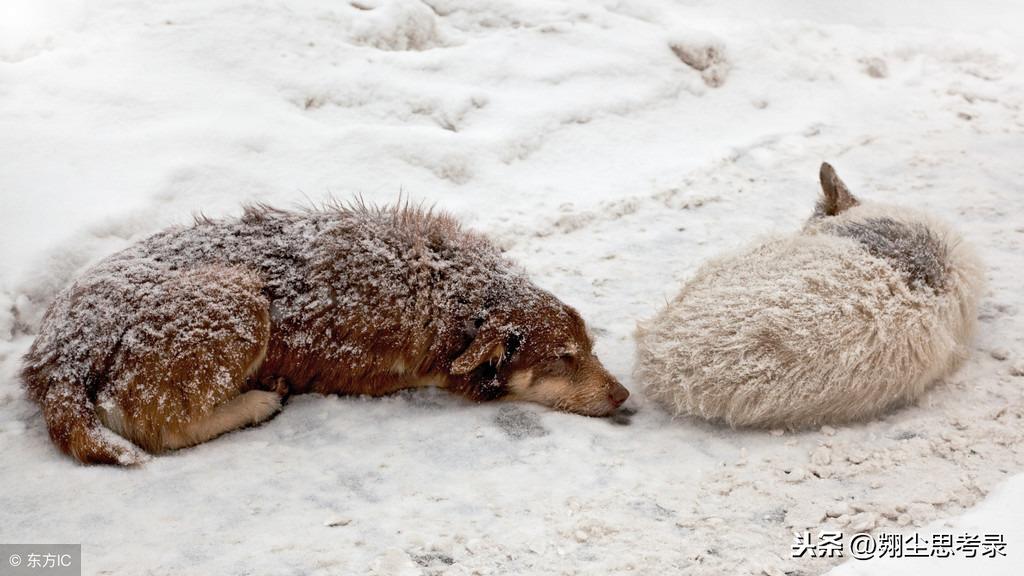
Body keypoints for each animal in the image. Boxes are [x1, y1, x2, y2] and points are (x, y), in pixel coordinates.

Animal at [24, 201, 626, 461]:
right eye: (562, 358)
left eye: (590, 349)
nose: (623, 395)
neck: (453, 294)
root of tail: (59, 347)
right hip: (240, 298)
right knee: (151, 423)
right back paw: (258, 402)